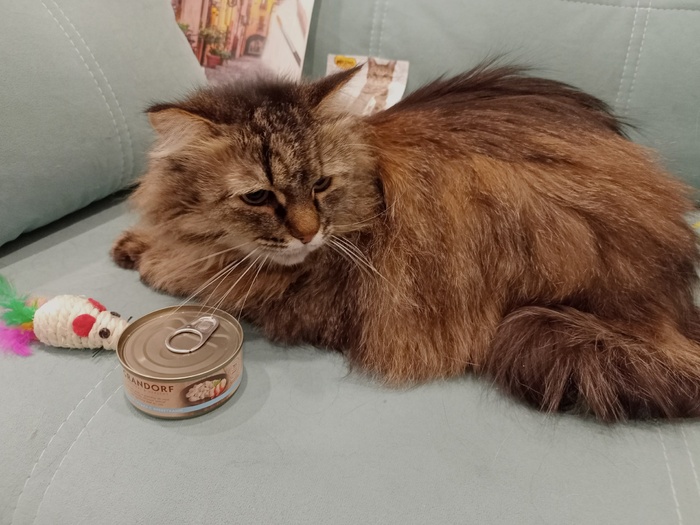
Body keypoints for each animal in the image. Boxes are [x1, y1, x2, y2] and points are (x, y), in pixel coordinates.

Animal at [112, 61, 700, 421]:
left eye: (321, 184)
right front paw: (134, 243)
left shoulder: (302, 302)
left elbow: (205, 278)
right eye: (258, 196)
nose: (309, 231)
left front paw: (155, 262)